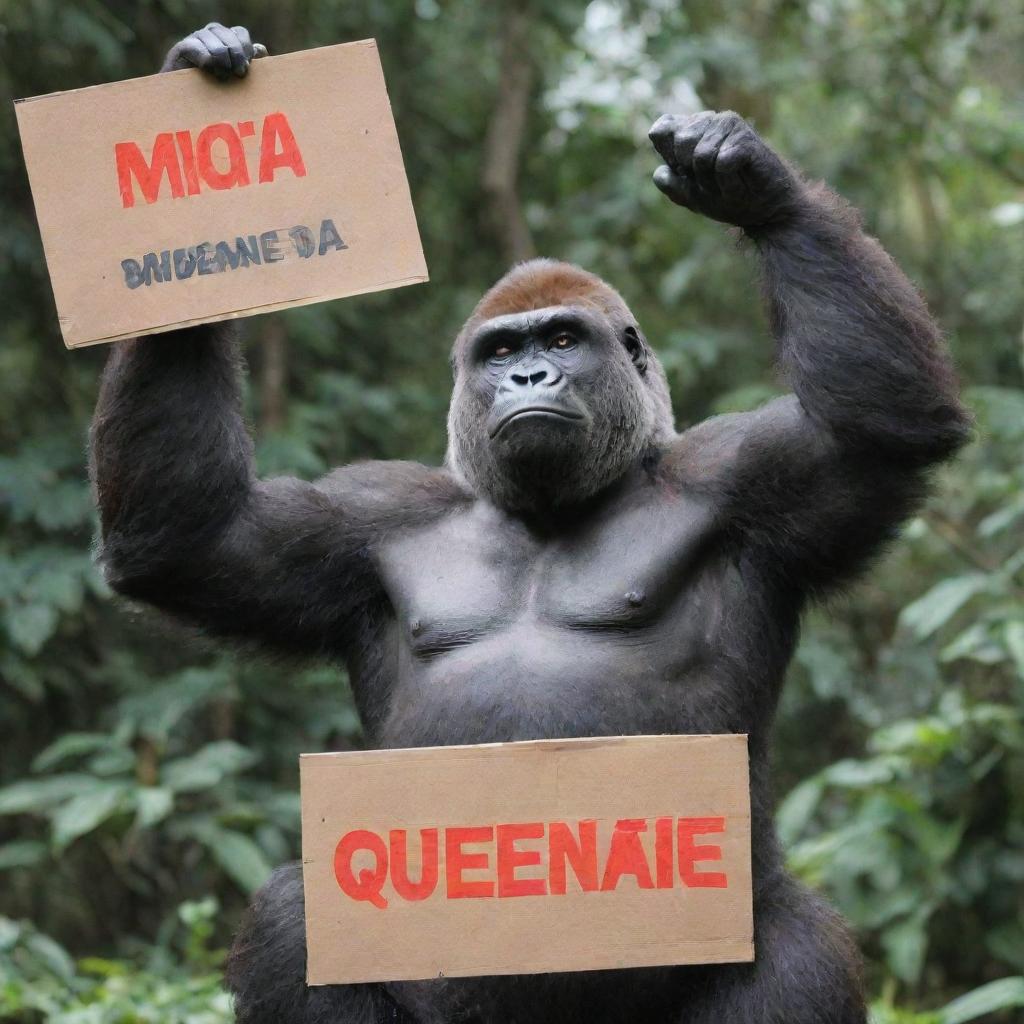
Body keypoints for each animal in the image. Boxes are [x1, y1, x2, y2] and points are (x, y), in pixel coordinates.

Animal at [88, 22, 966, 1024]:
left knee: (796, 941)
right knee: (293, 916)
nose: (528, 379)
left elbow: (877, 431)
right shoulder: (359, 525)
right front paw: (197, 89)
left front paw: (755, 185)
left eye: (562, 341)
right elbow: (194, 539)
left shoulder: (756, 476)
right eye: (501, 350)